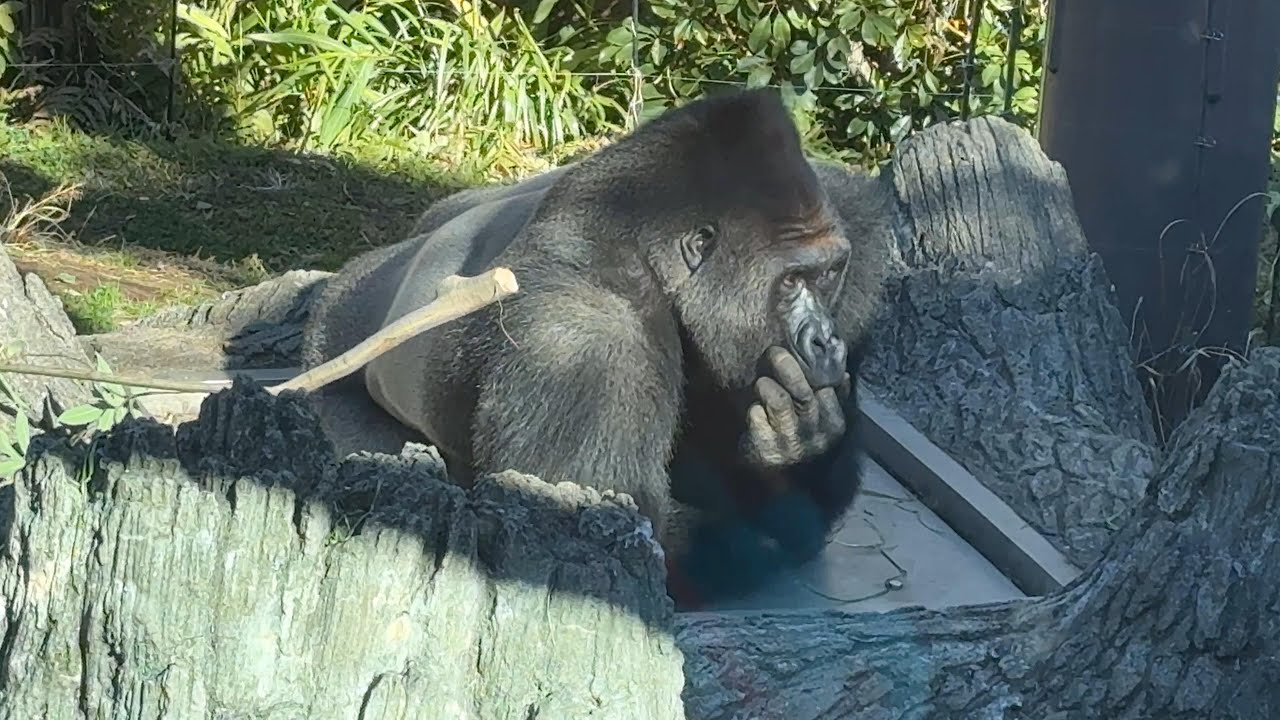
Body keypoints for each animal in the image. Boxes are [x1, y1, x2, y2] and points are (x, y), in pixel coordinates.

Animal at [300, 88, 895, 608]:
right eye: (792, 281)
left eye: (829, 275)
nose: (827, 342)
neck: (645, 248)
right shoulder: (586, 348)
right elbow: (620, 533)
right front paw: (775, 518)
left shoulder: (859, 234)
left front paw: (801, 448)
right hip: (332, 345)